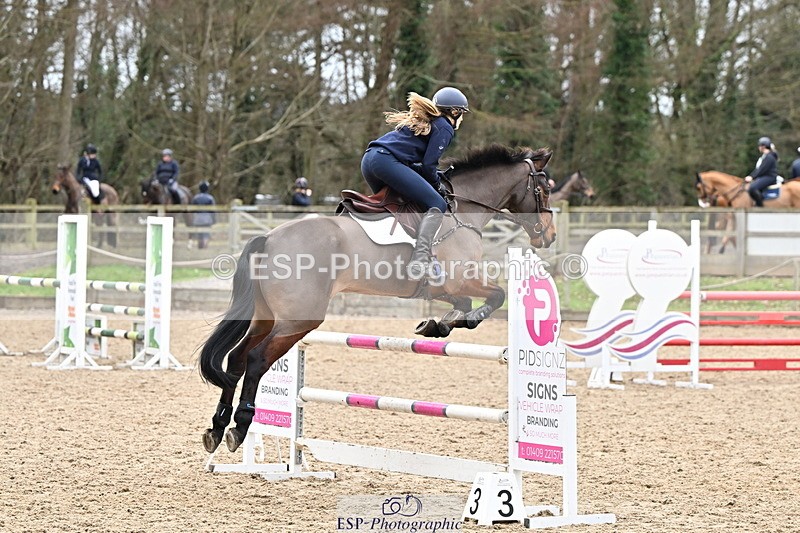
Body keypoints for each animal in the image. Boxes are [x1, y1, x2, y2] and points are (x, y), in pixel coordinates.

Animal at [198, 144, 557, 454]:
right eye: (545, 188)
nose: (549, 236)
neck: (463, 210)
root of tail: (269, 237)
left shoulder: (442, 288)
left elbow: (463, 305)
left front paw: (438, 326)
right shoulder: (460, 279)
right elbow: (497, 295)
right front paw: (467, 320)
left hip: (266, 317)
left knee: (237, 358)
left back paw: (217, 426)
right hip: (299, 320)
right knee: (257, 359)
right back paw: (240, 425)